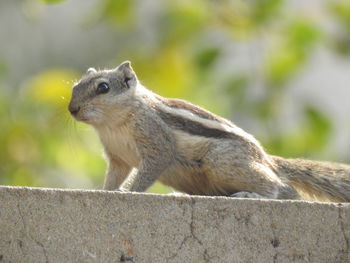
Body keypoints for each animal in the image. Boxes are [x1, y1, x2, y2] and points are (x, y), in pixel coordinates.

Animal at [67, 60, 350, 203]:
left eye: (103, 88)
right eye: (75, 87)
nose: (72, 109)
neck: (112, 124)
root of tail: (265, 158)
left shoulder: (157, 140)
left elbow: (149, 169)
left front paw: (129, 192)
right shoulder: (117, 158)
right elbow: (115, 175)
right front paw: (105, 191)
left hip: (222, 161)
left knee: (285, 189)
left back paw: (254, 194)